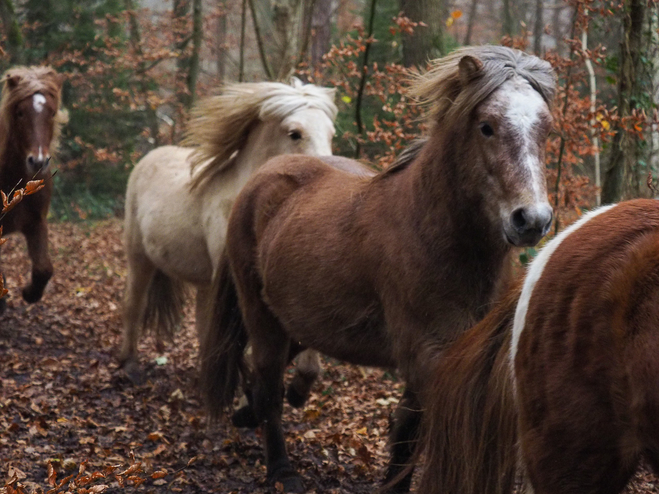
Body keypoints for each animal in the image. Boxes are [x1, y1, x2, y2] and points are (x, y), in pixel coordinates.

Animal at [0, 65, 67, 312]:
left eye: (52, 113)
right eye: (20, 113)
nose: (38, 162)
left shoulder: (36, 221)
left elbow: (44, 268)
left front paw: (30, 293)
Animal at [200, 45, 556, 490]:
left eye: (546, 130)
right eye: (486, 127)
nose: (532, 220)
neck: (431, 234)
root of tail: (265, 175)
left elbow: (408, 436)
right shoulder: (425, 356)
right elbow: (412, 435)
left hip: (296, 319)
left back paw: (247, 415)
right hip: (260, 313)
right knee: (269, 384)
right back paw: (281, 469)